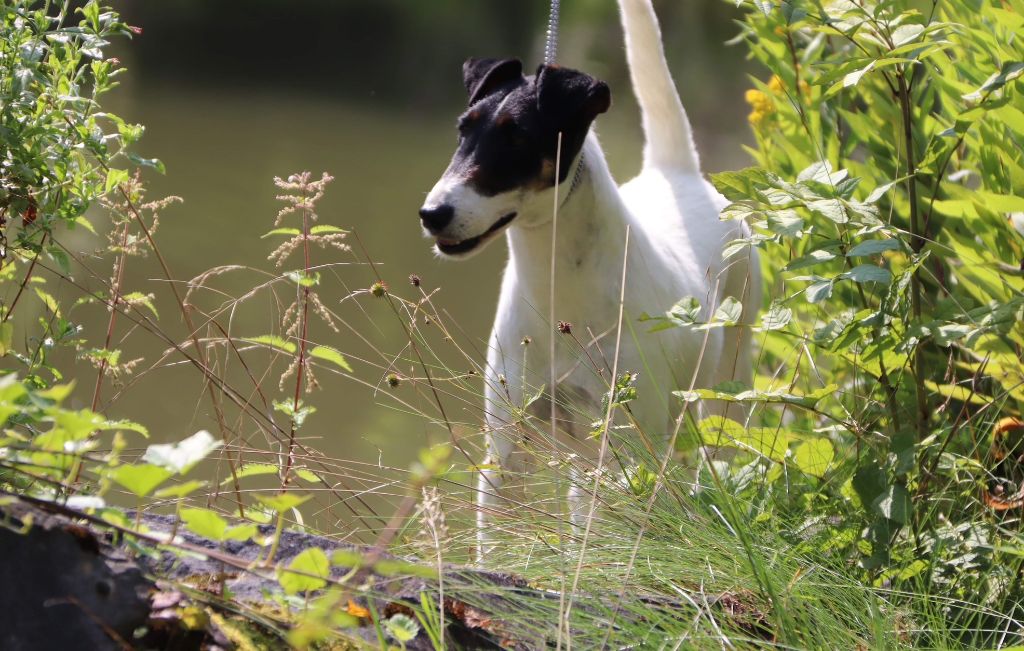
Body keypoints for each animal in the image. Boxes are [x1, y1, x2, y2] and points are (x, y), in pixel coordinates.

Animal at [417, 0, 761, 560]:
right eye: (462, 130)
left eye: (518, 137)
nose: (433, 214)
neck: (560, 290)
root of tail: (676, 173)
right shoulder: (507, 448)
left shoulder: (627, 448)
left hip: (724, 389)